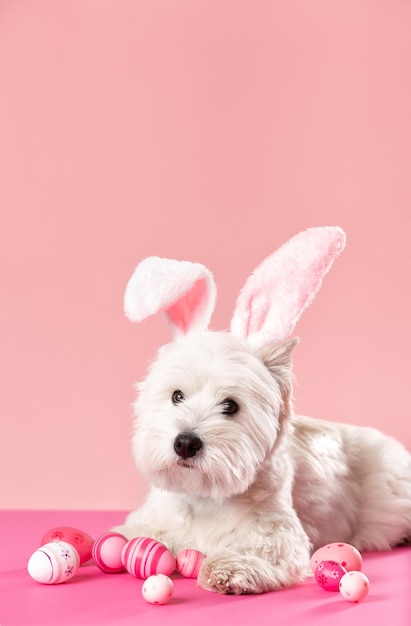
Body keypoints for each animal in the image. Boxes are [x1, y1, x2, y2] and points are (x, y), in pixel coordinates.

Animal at [113, 227, 411, 592]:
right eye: (177, 396)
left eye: (231, 406)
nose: (185, 443)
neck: (204, 497)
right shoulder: (151, 518)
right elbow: (133, 533)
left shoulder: (277, 533)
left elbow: (260, 549)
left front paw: (228, 568)